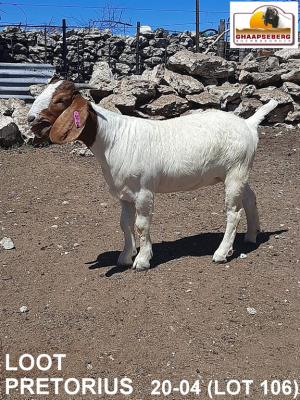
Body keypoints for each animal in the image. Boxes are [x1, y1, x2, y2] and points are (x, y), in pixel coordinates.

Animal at [27, 79, 278, 270]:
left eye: (60, 100)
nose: (30, 119)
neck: (113, 138)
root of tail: (248, 123)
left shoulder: (143, 190)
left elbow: (141, 224)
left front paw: (142, 260)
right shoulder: (124, 194)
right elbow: (125, 223)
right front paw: (125, 256)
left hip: (236, 171)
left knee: (233, 212)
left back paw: (221, 252)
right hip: (238, 172)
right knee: (250, 199)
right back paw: (251, 236)